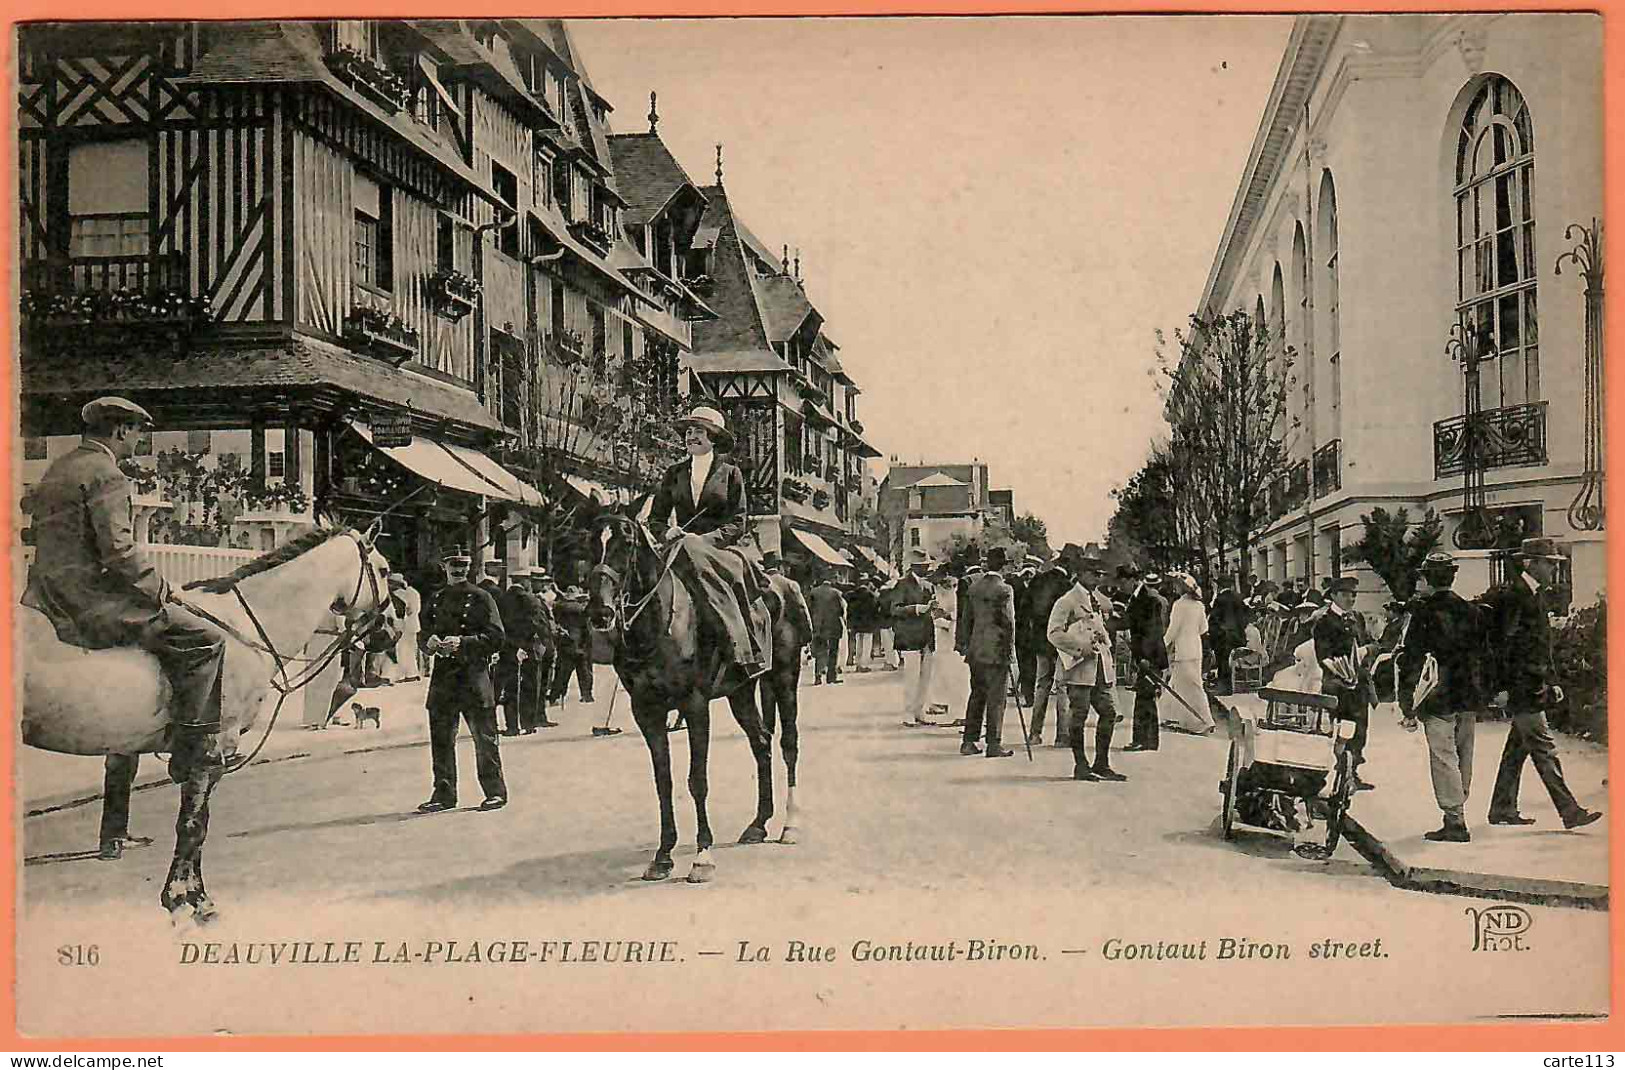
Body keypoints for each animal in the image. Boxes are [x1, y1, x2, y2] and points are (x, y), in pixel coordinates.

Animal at [22, 520, 399, 923]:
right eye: (383, 570)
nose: (393, 630)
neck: (243, 627)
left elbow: (193, 824)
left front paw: (186, 893)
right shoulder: (214, 746)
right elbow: (194, 825)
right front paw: (190, 898)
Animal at [591, 504, 780, 878]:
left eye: (626, 542)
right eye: (592, 541)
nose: (600, 612)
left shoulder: (695, 706)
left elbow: (697, 779)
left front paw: (702, 853)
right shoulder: (646, 711)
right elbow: (663, 781)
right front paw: (663, 854)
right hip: (740, 693)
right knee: (762, 742)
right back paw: (758, 824)